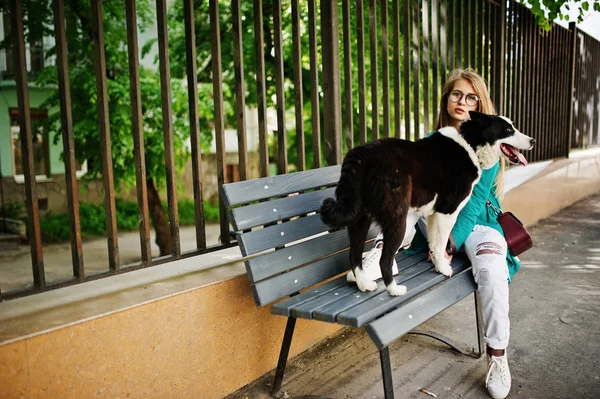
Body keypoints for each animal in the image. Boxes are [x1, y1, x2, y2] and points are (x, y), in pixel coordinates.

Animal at [318, 111, 536, 296]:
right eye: (508, 130)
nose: (533, 141)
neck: (470, 143)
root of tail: (361, 156)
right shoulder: (447, 211)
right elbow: (441, 243)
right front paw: (443, 268)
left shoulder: (431, 213)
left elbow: (435, 243)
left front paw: (438, 265)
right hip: (398, 218)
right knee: (385, 259)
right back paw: (394, 290)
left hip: (359, 221)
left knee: (354, 256)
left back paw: (364, 284)